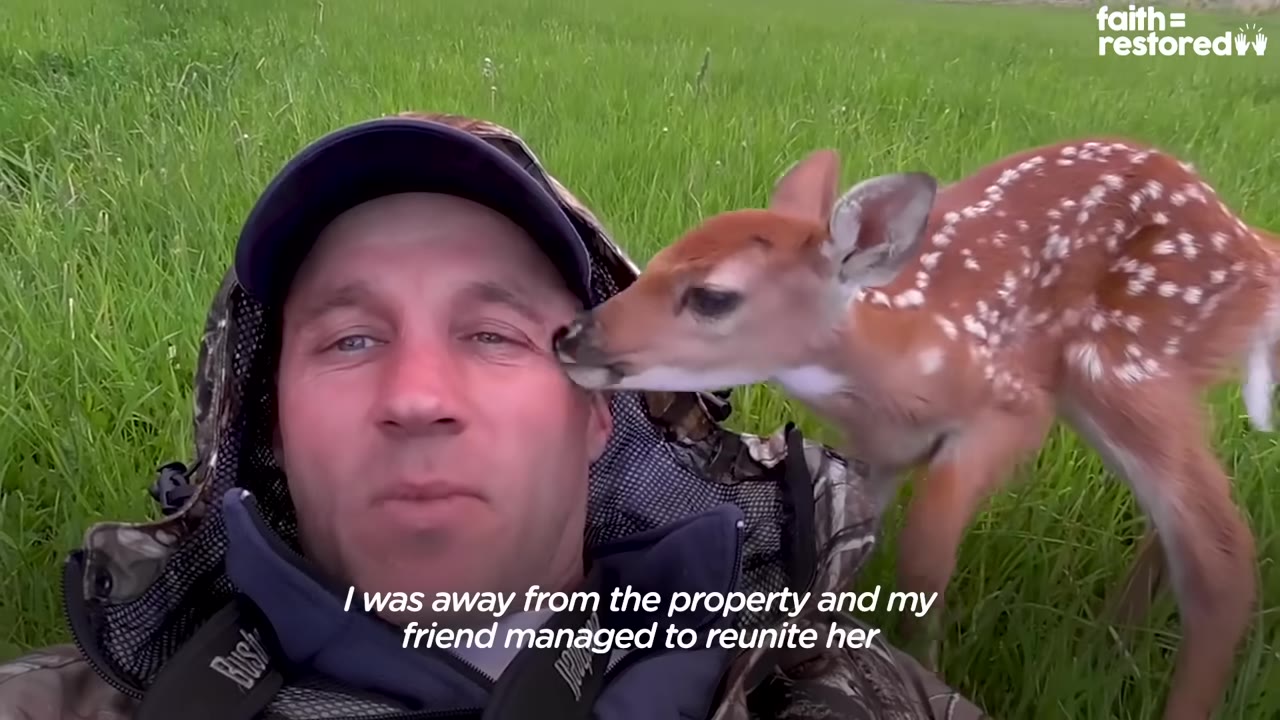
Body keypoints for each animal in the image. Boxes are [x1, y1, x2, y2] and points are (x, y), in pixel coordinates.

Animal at [551, 137, 1272, 719]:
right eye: (659, 258)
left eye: (712, 296)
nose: (571, 337)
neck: (901, 366)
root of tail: (1251, 243)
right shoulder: (875, 454)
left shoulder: (1012, 407)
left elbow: (925, 557)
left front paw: (927, 672)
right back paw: (1107, 642)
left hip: (1127, 366)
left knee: (1222, 555)